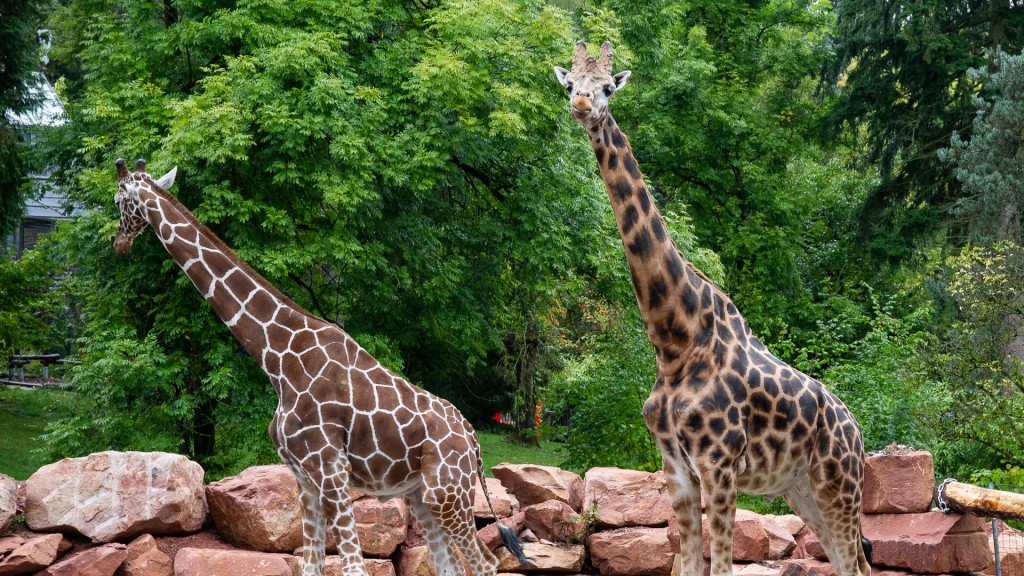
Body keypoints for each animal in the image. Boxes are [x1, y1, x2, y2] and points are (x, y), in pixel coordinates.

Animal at [112, 158, 528, 573]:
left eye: (118, 201)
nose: (119, 243)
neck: (277, 358)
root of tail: (474, 441)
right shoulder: (304, 479)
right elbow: (310, 564)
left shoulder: (331, 469)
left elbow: (353, 566)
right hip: (420, 494)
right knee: (450, 563)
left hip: (447, 492)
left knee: (486, 562)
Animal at [552, 43, 872, 573]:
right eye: (570, 82)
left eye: (608, 88)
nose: (581, 105)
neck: (674, 341)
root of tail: (859, 431)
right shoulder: (675, 468)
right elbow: (687, 562)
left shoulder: (719, 466)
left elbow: (719, 564)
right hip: (801, 490)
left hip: (838, 485)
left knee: (853, 561)